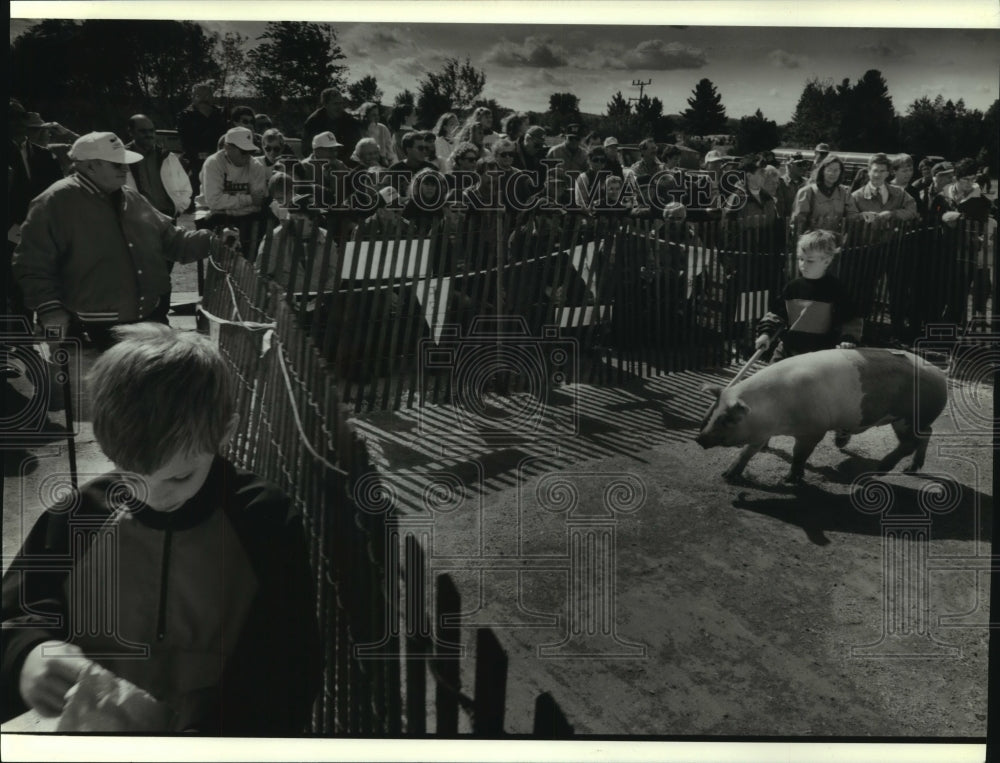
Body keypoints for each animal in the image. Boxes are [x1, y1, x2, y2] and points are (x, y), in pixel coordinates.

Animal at [696, 348, 944, 484]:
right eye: (714, 412)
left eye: (729, 419)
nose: (699, 438)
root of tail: (940, 376)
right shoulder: (762, 431)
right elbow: (748, 451)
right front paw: (727, 475)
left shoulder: (814, 430)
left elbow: (799, 455)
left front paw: (790, 480)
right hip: (916, 420)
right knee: (927, 434)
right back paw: (910, 469)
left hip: (909, 417)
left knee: (910, 443)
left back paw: (880, 469)